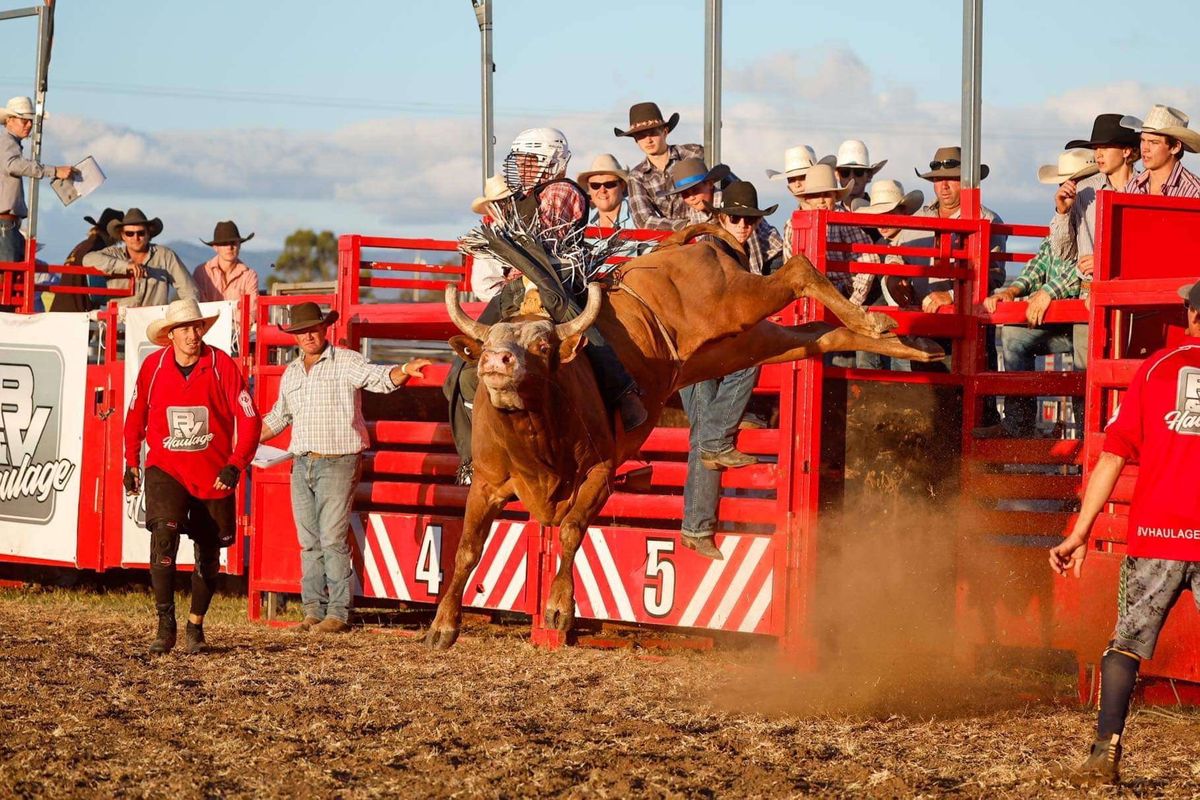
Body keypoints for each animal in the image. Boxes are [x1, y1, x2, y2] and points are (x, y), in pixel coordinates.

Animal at [427, 224, 940, 652]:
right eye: (489, 342)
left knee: (797, 270)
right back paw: (905, 342)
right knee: (819, 334)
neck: (536, 434)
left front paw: (557, 609)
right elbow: (467, 549)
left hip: (734, 305)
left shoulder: (600, 474)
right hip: (739, 343)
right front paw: (443, 625)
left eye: (542, 346)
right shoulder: (487, 485)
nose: (496, 362)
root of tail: (679, 246)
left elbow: (571, 529)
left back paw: (878, 324)